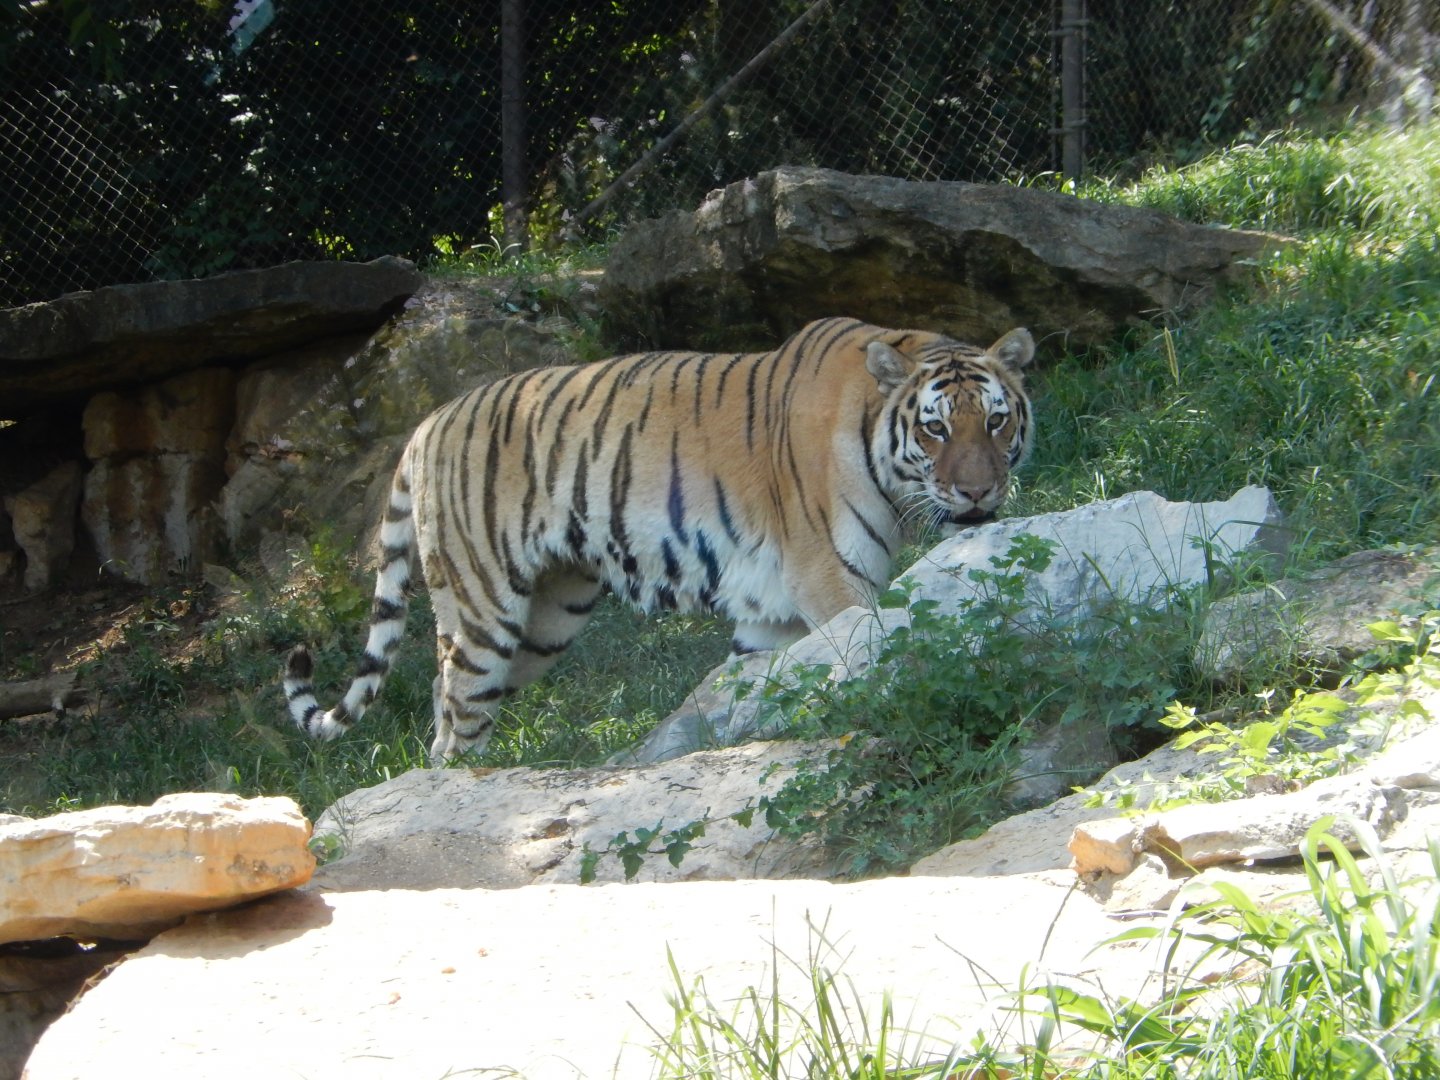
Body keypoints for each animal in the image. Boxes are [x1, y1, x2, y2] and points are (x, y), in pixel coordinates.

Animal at [283, 316, 1036, 762]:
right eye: (936, 428)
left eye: (996, 421)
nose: (978, 493)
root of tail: (426, 424)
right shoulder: (831, 581)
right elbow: (865, 665)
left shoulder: (771, 616)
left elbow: (763, 693)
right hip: (483, 610)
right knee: (455, 712)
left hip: (545, 623)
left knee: (450, 703)